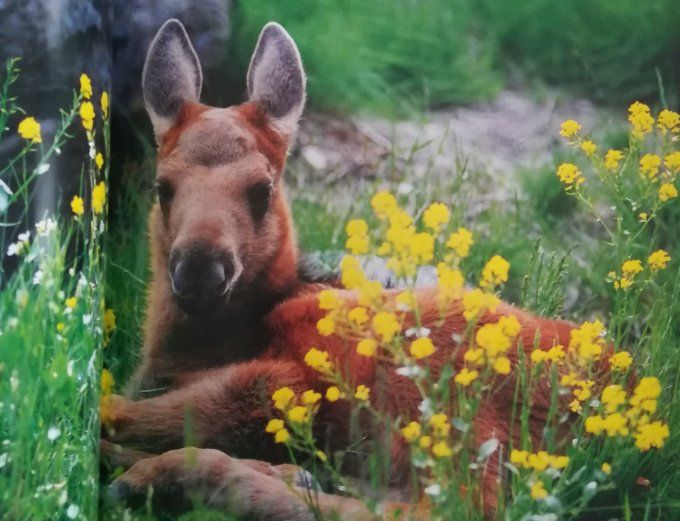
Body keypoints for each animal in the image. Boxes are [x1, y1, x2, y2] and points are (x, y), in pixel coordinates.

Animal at [105, 18, 580, 516]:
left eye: (261, 190)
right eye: (162, 187)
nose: (200, 269)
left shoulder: (280, 377)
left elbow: (115, 409)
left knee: (454, 505)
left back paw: (165, 479)